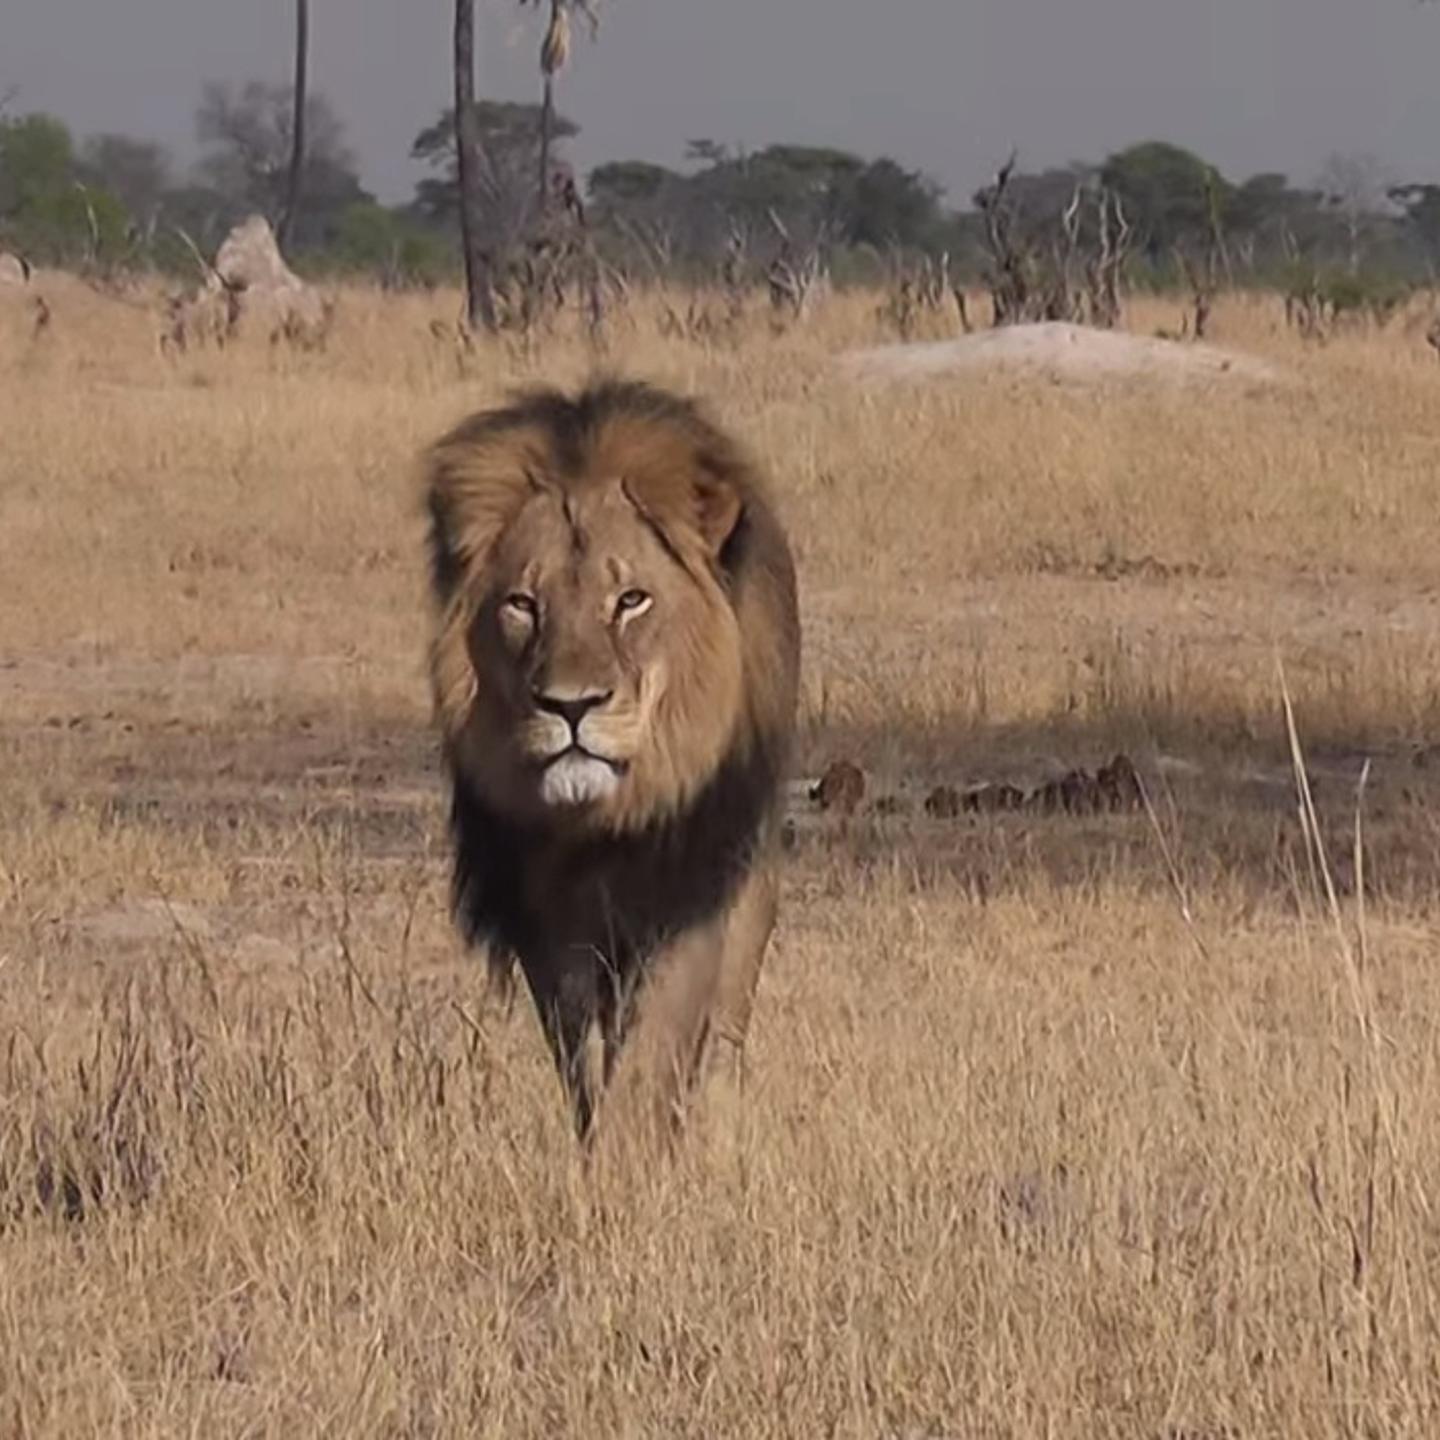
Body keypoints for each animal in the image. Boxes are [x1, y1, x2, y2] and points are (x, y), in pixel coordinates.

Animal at [424, 379, 800, 1143]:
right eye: (522, 604)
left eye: (631, 600)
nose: (571, 706)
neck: (602, 826)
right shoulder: (551, 927)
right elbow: (585, 1058)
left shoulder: (687, 897)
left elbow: (654, 1050)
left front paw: (634, 1150)